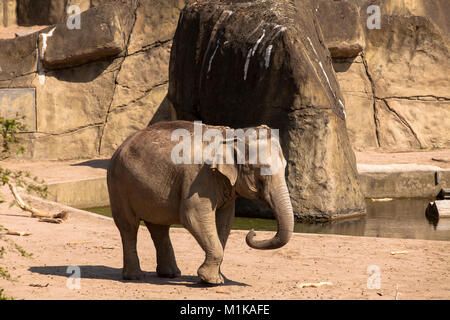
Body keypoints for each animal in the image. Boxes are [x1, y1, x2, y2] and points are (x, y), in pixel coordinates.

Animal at [107, 120, 294, 284]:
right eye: (261, 170)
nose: (252, 232)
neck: (231, 136)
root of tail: (121, 145)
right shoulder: (198, 178)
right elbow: (193, 216)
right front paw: (211, 281)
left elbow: (225, 221)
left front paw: (218, 278)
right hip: (118, 185)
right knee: (129, 226)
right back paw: (135, 276)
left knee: (159, 228)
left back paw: (171, 274)